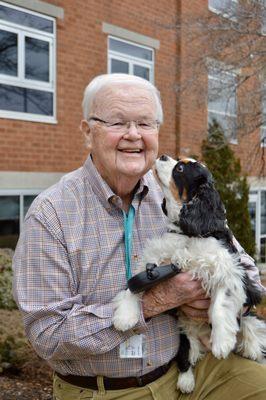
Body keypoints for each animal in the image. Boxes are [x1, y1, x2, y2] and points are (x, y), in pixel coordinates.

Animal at [112, 155, 266, 392]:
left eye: (180, 168)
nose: (163, 155)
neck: (186, 233)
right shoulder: (154, 263)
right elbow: (132, 286)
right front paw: (125, 316)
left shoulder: (229, 270)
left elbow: (220, 304)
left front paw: (222, 342)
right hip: (184, 332)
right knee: (186, 355)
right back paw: (186, 381)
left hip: (251, 308)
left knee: (251, 326)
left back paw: (251, 348)